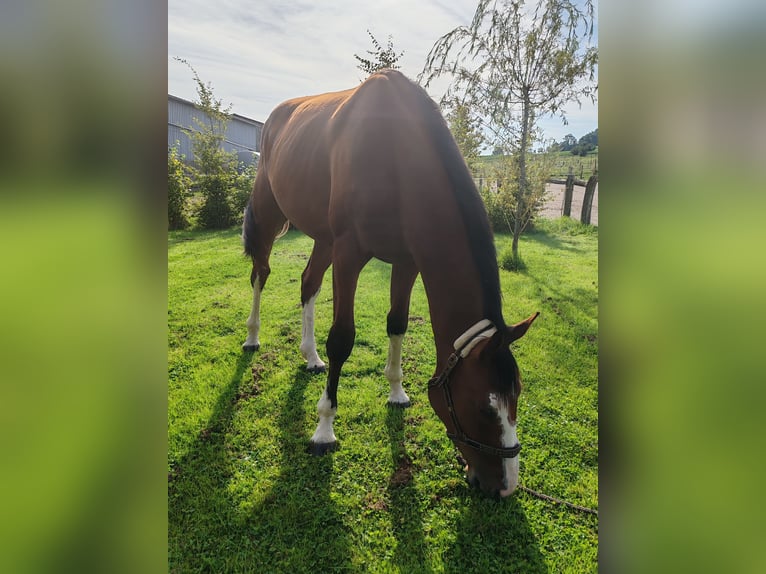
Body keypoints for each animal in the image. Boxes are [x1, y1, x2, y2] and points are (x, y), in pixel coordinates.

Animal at [242, 68, 540, 500]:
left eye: (517, 393)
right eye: (486, 409)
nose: (504, 487)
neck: (394, 153)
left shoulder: (407, 260)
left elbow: (397, 323)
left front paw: (397, 392)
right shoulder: (349, 254)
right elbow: (342, 339)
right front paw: (324, 429)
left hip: (323, 237)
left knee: (308, 283)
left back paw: (310, 356)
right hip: (271, 214)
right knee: (260, 274)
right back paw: (252, 336)